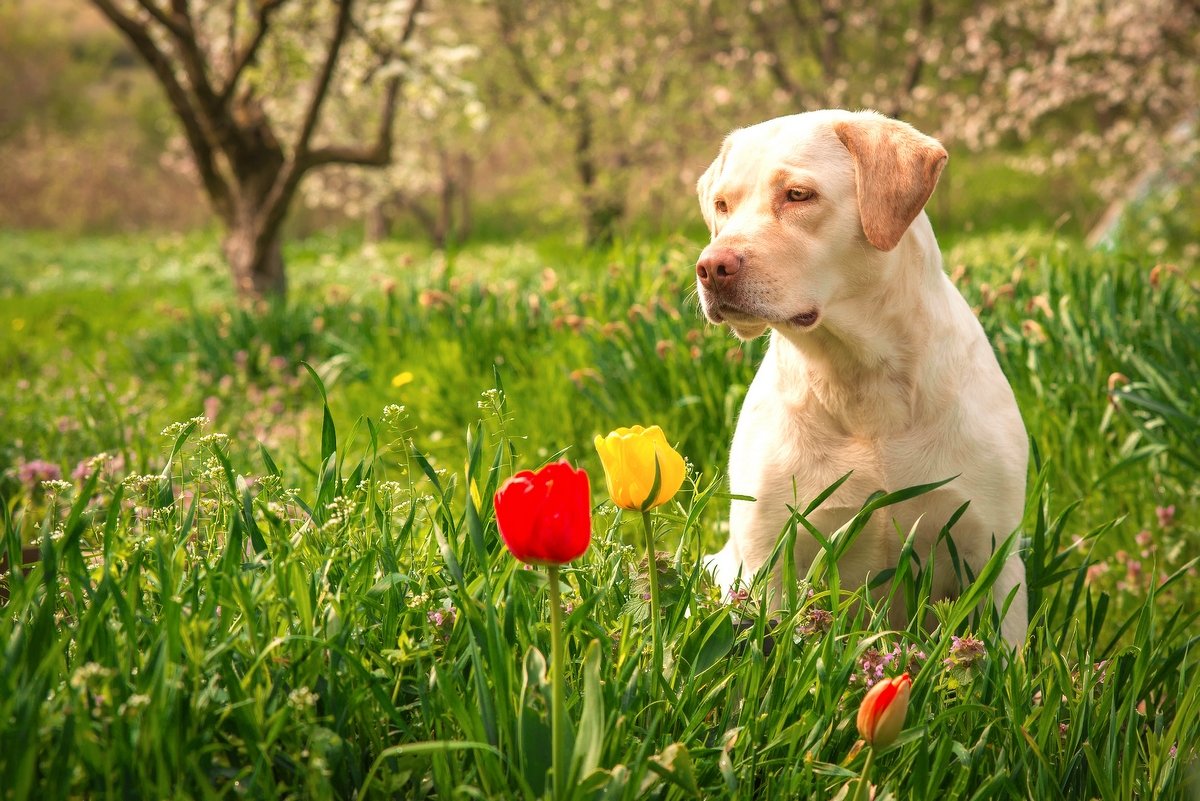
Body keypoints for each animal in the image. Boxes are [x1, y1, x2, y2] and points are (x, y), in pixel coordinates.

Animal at [696, 109, 1032, 647]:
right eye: (722, 205)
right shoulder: (769, 566)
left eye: (798, 195)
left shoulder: (993, 561)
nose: (710, 266)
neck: (861, 379)